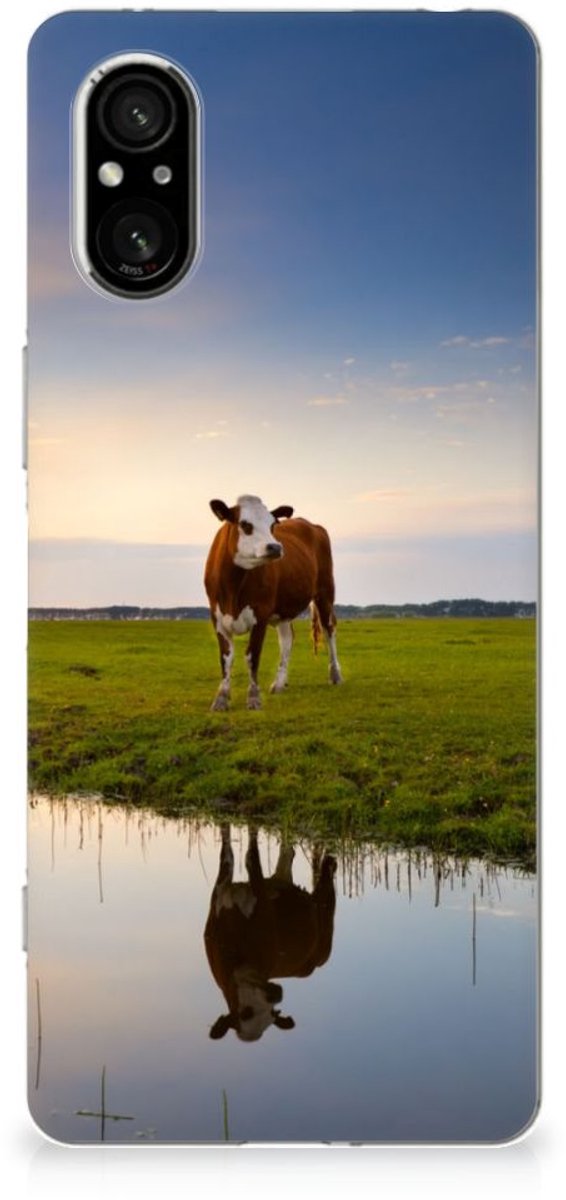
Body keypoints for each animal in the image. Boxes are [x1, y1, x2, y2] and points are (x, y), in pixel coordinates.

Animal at [204, 494, 342, 711]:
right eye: (245, 524)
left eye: (272, 525)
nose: (275, 547)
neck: (233, 586)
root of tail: (311, 525)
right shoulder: (217, 617)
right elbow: (226, 658)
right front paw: (221, 698)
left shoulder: (260, 615)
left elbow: (252, 656)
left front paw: (253, 698)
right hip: (283, 609)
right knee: (287, 639)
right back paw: (279, 683)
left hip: (325, 592)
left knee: (329, 629)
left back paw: (335, 674)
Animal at [204, 824, 337, 1042]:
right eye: (245, 1013)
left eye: (272, 1013)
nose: (276, 995)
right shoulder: (220, 892)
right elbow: (227, 853)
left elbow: (251, 857)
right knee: (288, 853)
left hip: (325, 920)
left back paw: (330, 861)